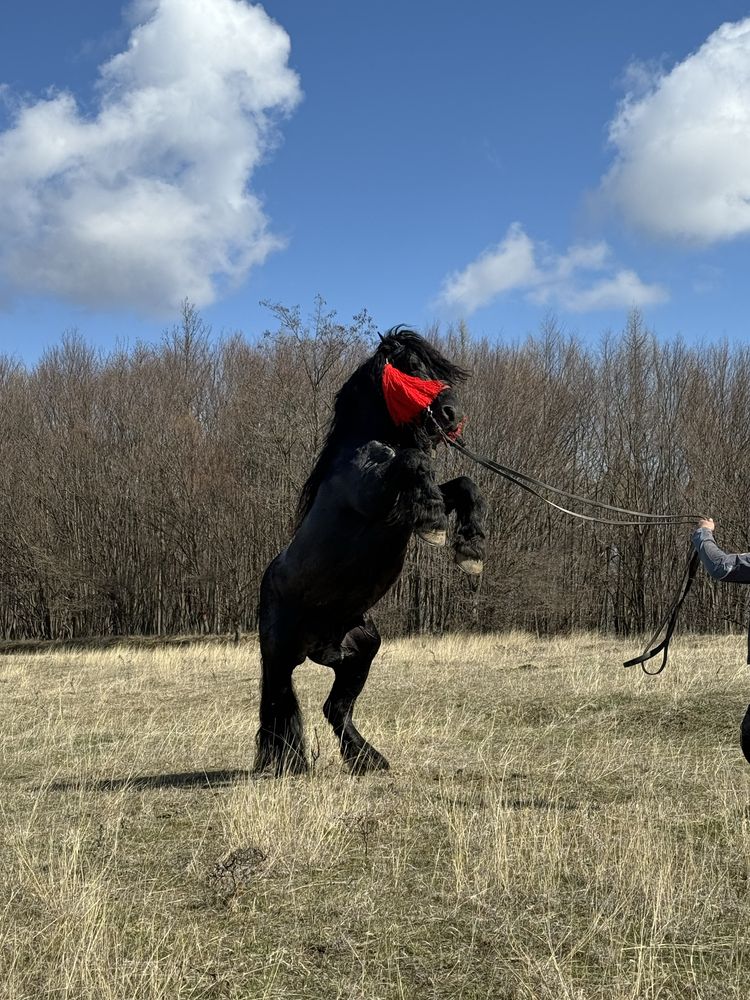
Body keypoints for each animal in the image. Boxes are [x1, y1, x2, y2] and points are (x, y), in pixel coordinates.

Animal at [254, 328, 488, 772]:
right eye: (412, 367)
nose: (451, 415)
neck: (364, 446)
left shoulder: (402, 506)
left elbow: (463, 485)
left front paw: (469, 548)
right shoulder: (375, 496)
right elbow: (413, 461)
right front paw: (437, 525)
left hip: (361, 650)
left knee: (334, 708)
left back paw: (368, 759)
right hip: (280, 658)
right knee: (279, 708)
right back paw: (288, 764)